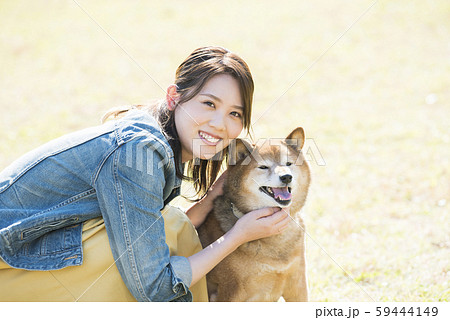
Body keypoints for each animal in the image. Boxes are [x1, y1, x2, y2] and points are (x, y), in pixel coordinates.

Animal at [199, 127, 312, 300]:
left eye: (288, 164)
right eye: (263, 167)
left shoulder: (297, 284)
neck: (276, 241)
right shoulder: (230, 291)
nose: (286, 177)